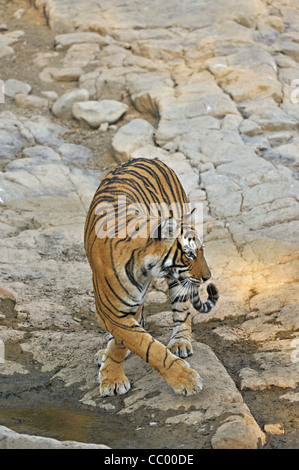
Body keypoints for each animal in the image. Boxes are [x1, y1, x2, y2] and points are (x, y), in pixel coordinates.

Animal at [84, 158, 218, 396]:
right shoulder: (112, 310)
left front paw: (112, 376)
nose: (207, 277)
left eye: (200, 251)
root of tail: (148, 158)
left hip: (179, 282)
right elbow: (145, 345)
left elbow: (129, 343)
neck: (141, 265)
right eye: (189, 254)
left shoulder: (129, 307)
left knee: (182, 311)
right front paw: (186, 379)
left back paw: (180, 343)